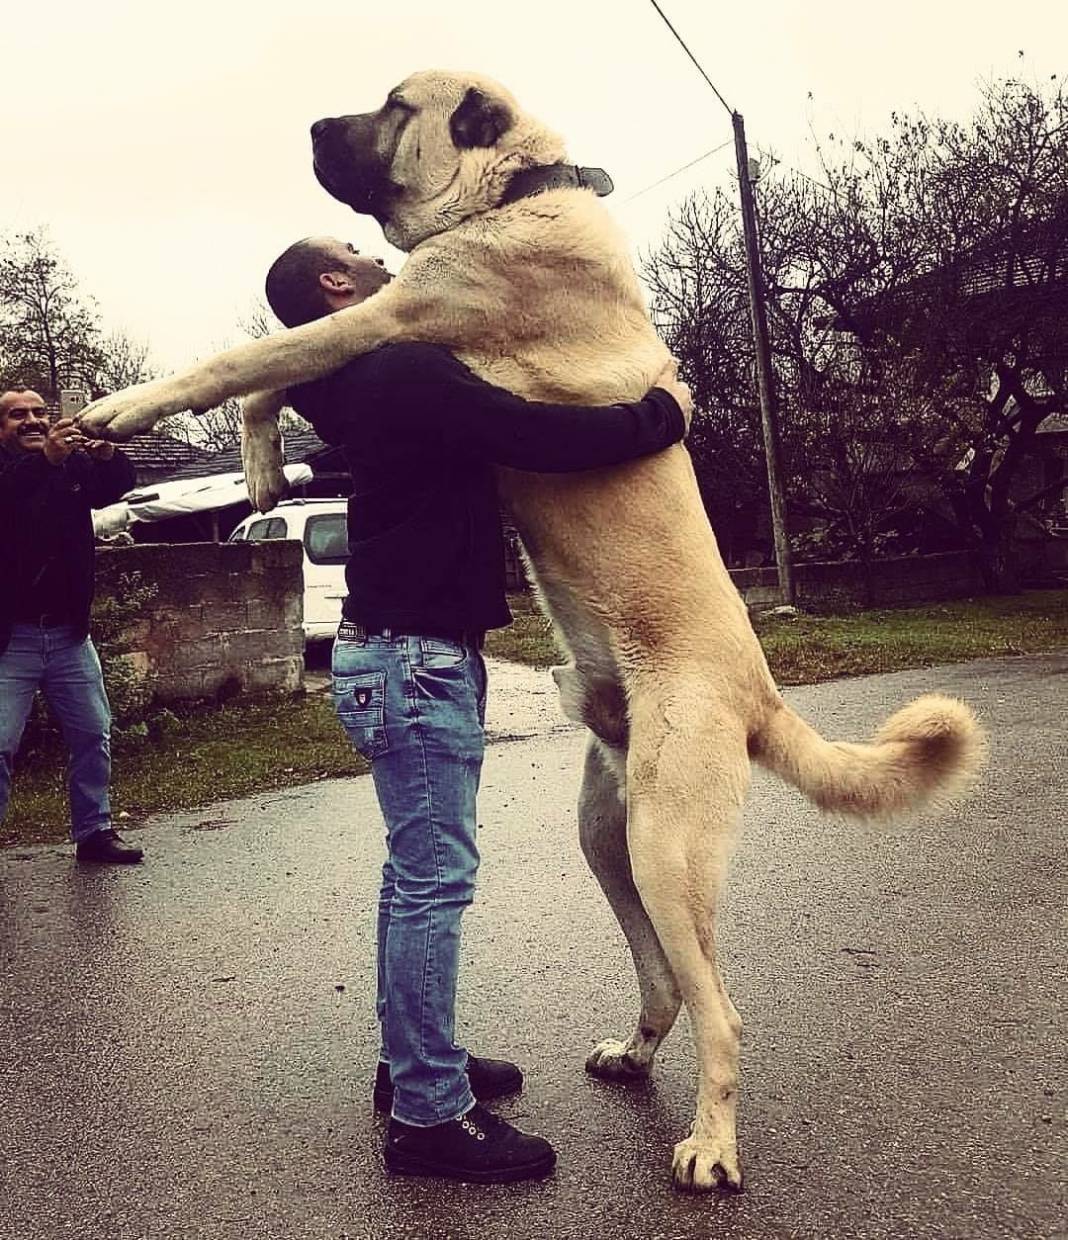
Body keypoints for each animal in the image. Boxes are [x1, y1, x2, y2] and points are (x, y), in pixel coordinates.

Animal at [81, 67, 982, 1190]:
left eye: (394, 106)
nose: (312, 126)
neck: (514, 192)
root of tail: (762, 695)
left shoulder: (402, 315)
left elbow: (247, 356)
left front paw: (121, 412)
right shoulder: (392, 321)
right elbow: (271, 372)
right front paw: (255, 469)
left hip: (667, 844)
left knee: (723, 1010)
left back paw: (711, 1143)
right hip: (609, 833)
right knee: (668, 980)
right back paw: (634, 1054)